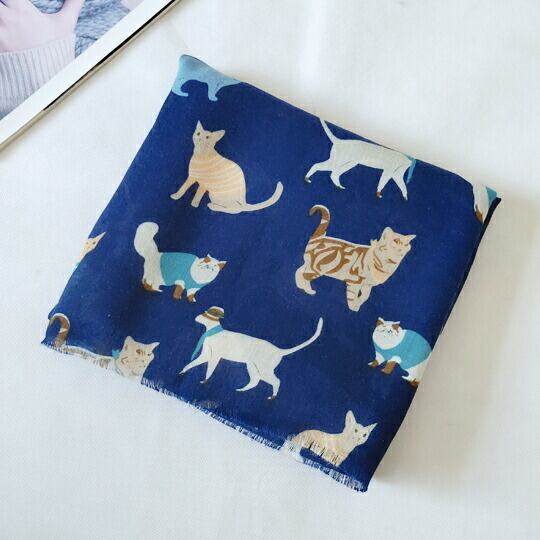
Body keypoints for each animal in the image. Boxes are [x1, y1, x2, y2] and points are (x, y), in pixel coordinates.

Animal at [179, 306, 324, 399]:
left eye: (204, 314)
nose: (196, 316)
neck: (212, 332)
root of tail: (278, 350)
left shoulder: (215, 356)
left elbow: (209, 369)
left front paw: (205, 380)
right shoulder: (207, 355)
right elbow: (192, 364)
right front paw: (183, 371)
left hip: (264, 369)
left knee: (276, 381)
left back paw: (273, 396)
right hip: (253, 367)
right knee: (256, 381)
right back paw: (242, 391)